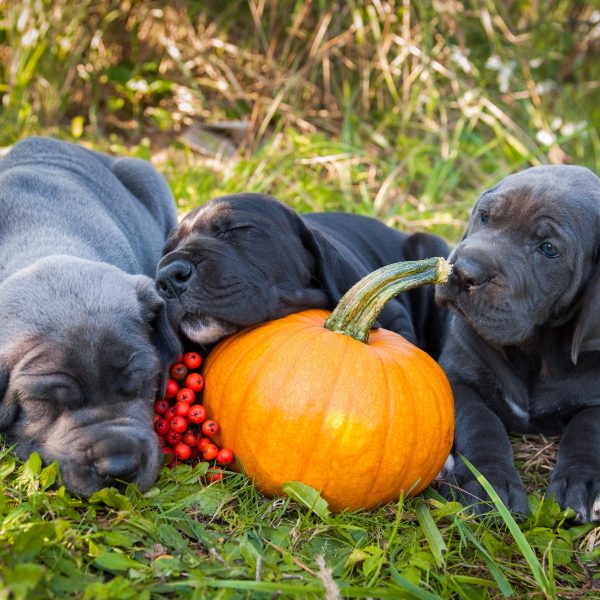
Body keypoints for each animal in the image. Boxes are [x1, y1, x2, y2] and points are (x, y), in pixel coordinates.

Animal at [434, 164, 600, 520]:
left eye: (548, 249)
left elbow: (587, 427)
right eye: (485, 217)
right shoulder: (456, 379)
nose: (465, 271)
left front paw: (581, 482)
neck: (535, 350)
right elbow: (481, 422)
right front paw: (488, 482)